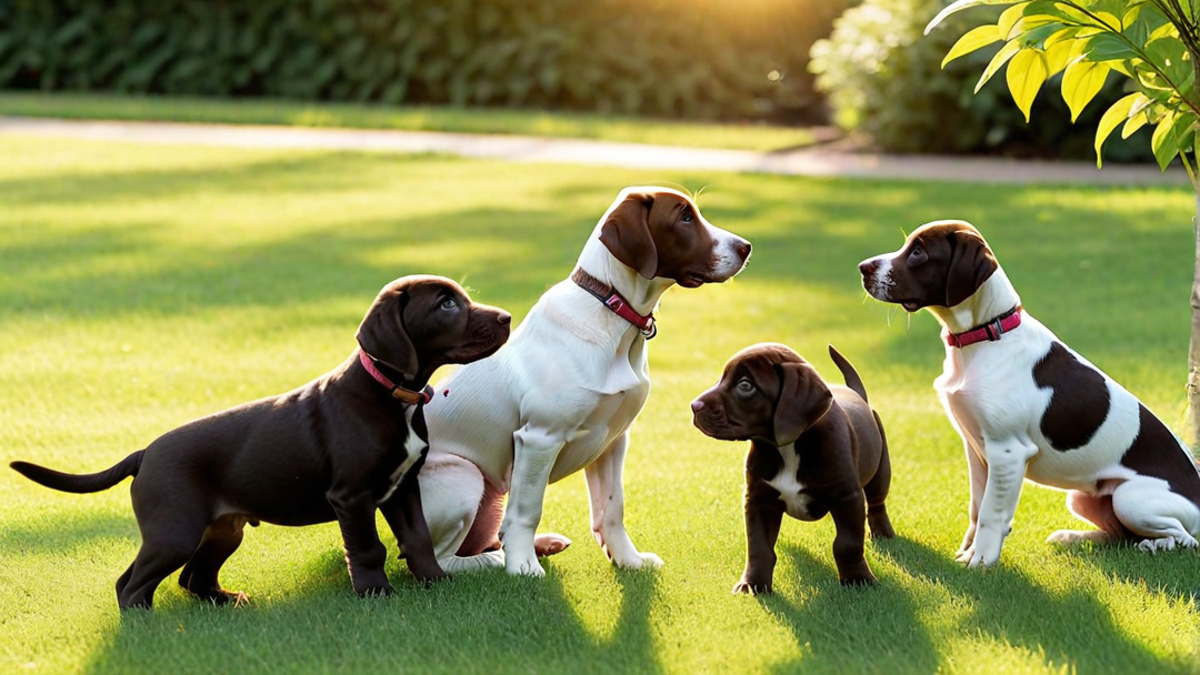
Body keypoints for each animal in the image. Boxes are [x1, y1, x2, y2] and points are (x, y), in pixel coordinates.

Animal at [14, 273, 511, 610]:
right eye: (446, 305)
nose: (507, 316)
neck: (391, 395)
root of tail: (144, 454)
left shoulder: (403, 487)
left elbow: (418, 539)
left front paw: (435, 583)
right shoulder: (352, 496)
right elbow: (370, 548)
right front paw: (377, 595)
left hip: (222, 529)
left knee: (193, 578)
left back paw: (225, 602)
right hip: (174, 530)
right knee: (130, 583)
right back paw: (144, 621)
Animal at [417, 186, 744, 576]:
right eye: (684, 217)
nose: (746, 247)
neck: (611, 313)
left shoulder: (614, 439)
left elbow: (612, 509)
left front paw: (628, 559)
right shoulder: (539, 438)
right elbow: (527, 511)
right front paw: (523, 567)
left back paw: (539, 545)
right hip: (464, 474)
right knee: (439, 559)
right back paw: (497, 560)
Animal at [691, 343, 897, 590]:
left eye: (745, 385)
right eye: (721, 378)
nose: (694, 406)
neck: (787, 448)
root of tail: (857, 394)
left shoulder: (847, 498)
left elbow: (847, 544)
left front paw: (858, 579)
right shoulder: (758, 499)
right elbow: (759, 547)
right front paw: (753, 583)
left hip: (880, 471)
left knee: (877, 503)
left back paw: (883, 533)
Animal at [859, 219, 1200, 562]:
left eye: (918, 253)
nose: (862, 267)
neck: (986, 335)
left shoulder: (1007, 452)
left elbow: (991, 513)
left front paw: (980, 561)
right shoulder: (977, 450)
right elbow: (976, 508)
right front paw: (967, 553)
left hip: (1131, 498)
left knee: (1184, 538)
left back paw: (1156, 544)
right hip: (1083, 498)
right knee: (1121, 535)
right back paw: (1073, 537)